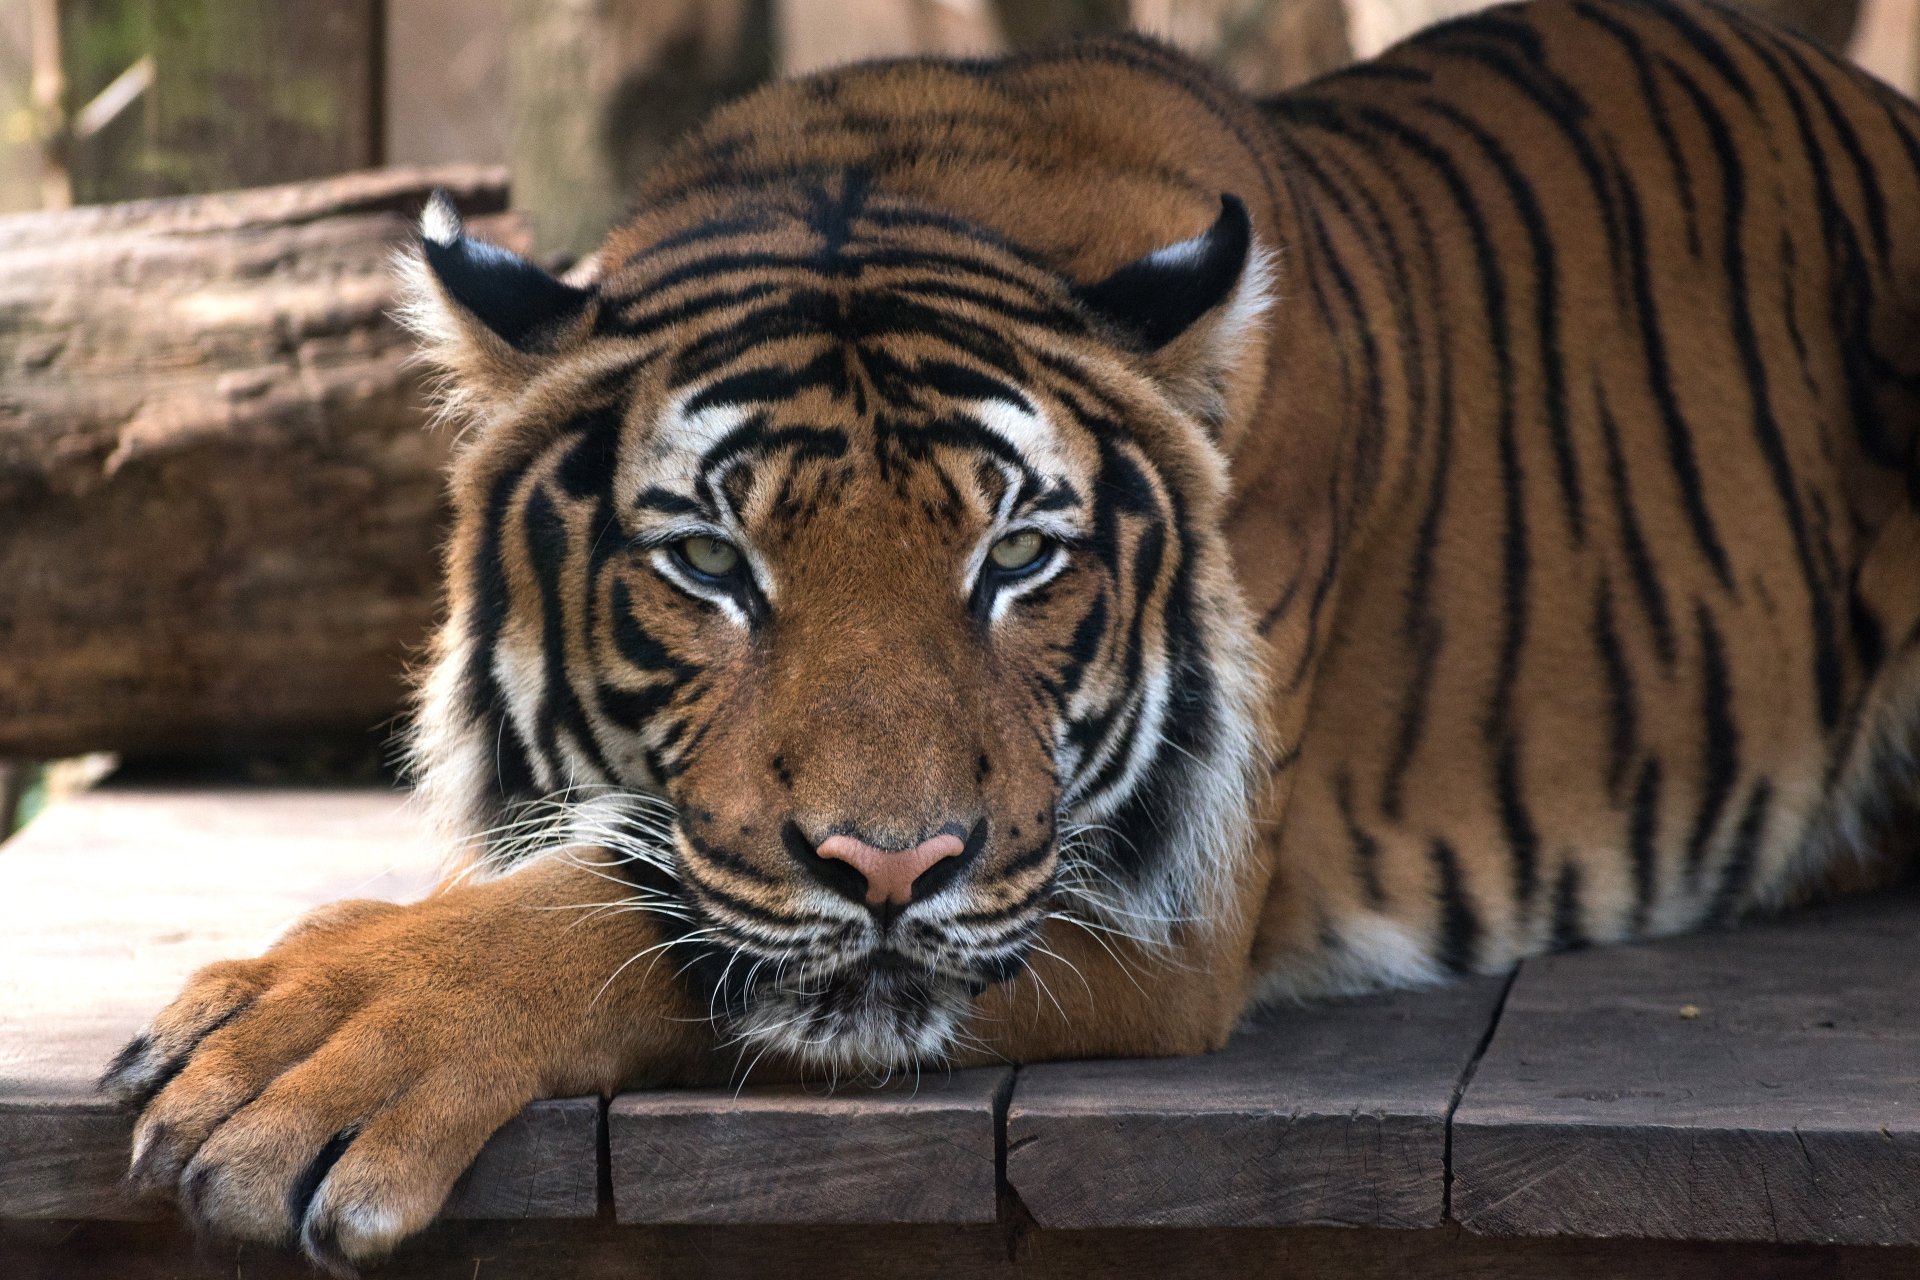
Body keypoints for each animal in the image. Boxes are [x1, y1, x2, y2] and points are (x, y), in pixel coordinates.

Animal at [104, 0, 1920, 1269]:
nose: (896, 865)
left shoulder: (1153, 901)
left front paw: (316, 1039)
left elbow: (620, 909)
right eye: (709, 561)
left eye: (1020, 559)